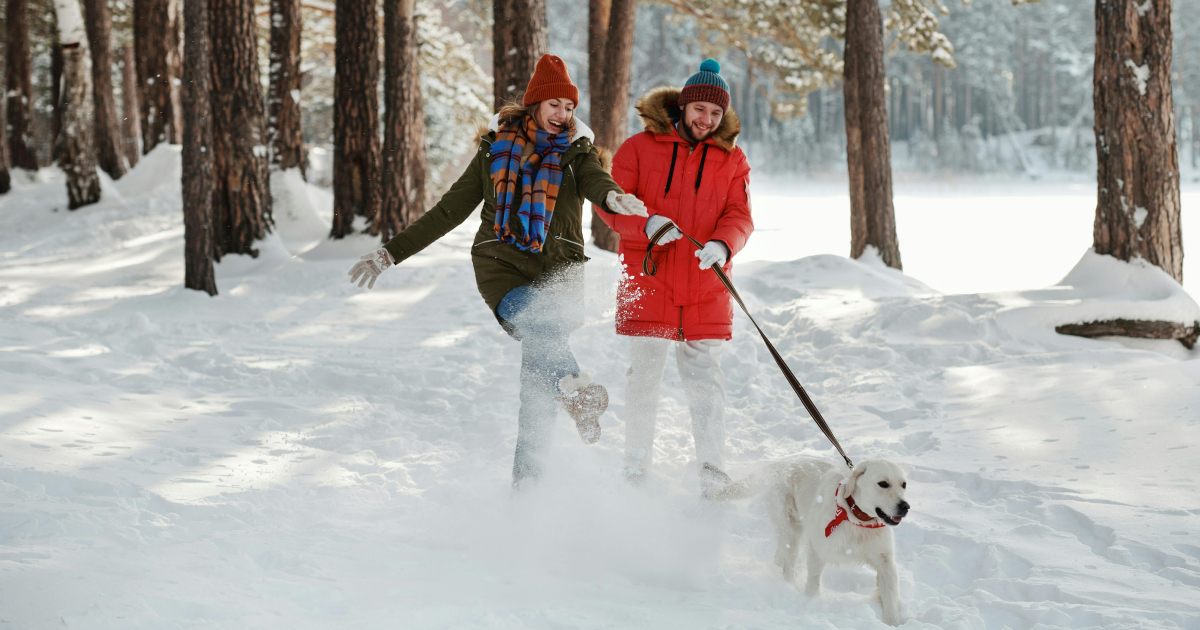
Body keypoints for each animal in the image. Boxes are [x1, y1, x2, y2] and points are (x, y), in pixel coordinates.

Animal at [710, 456, 907, 624]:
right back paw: (790, 587)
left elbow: (890, 596)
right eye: (883, 484)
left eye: (904, 484)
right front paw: (810, 604)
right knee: (788, 566)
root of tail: (784, 464)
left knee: (779, 557)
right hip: (791, 532)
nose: (905, 506)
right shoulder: (817, 551)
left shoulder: (885, 561)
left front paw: (892, 623)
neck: (856, 518)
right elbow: (813, 583)